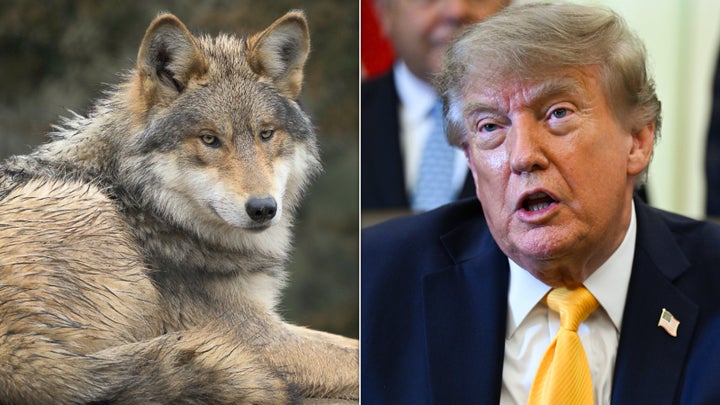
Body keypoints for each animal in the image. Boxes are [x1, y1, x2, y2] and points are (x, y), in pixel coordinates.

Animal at [0, 10, 358, 404]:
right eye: (210, 139)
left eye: (266, 134)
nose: (263, 208)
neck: (144, 204)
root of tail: (15, 354)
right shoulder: (254, 334)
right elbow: (354, 356)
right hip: (91, 211)